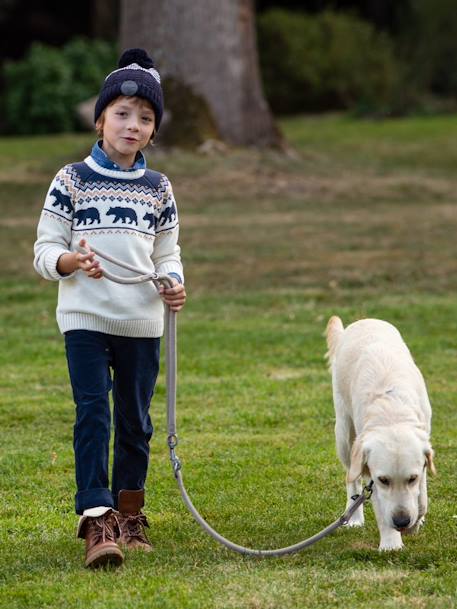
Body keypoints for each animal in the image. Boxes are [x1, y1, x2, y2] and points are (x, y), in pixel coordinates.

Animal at [324, 318, 434, 552]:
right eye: (383, 480)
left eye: (411, 478)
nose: (402, 521)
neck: (391, 412)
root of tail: (363, 321)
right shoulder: (370, 469)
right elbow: (380, 504)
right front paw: (391, 544)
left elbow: (421, 497)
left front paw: (416, 521)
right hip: (344, 434)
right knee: (352, 478)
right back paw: (354, 517)